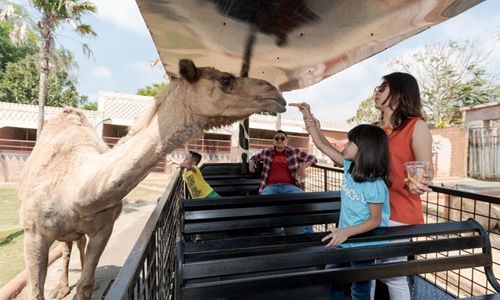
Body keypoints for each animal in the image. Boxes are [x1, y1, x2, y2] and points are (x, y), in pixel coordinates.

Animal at [18, 59, 286, 300]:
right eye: (226, 79)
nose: (275, 92)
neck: (75, 190)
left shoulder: (104, 229)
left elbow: (84, 286)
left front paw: (87, 284)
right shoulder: (33, 234)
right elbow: (35, 292)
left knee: (77, 244)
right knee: (67, 247)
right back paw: (60, 288)